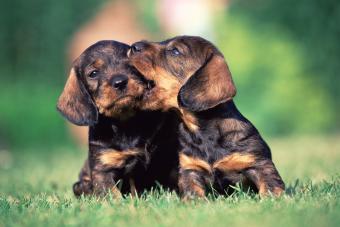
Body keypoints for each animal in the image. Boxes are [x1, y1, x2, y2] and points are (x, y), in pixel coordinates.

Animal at [57, 40, 181, 197]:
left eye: (131, 65)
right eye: (93, 73)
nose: (120, 82)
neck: (126, 124)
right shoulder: (103, 168)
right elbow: (112, 194)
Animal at [129, 34, 286, 200]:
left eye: (175, 51)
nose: (133, 46)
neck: (202, 131)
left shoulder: (258, 163)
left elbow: (270, 186)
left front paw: (272, 199)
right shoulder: (191, 169)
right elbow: (192, 192)